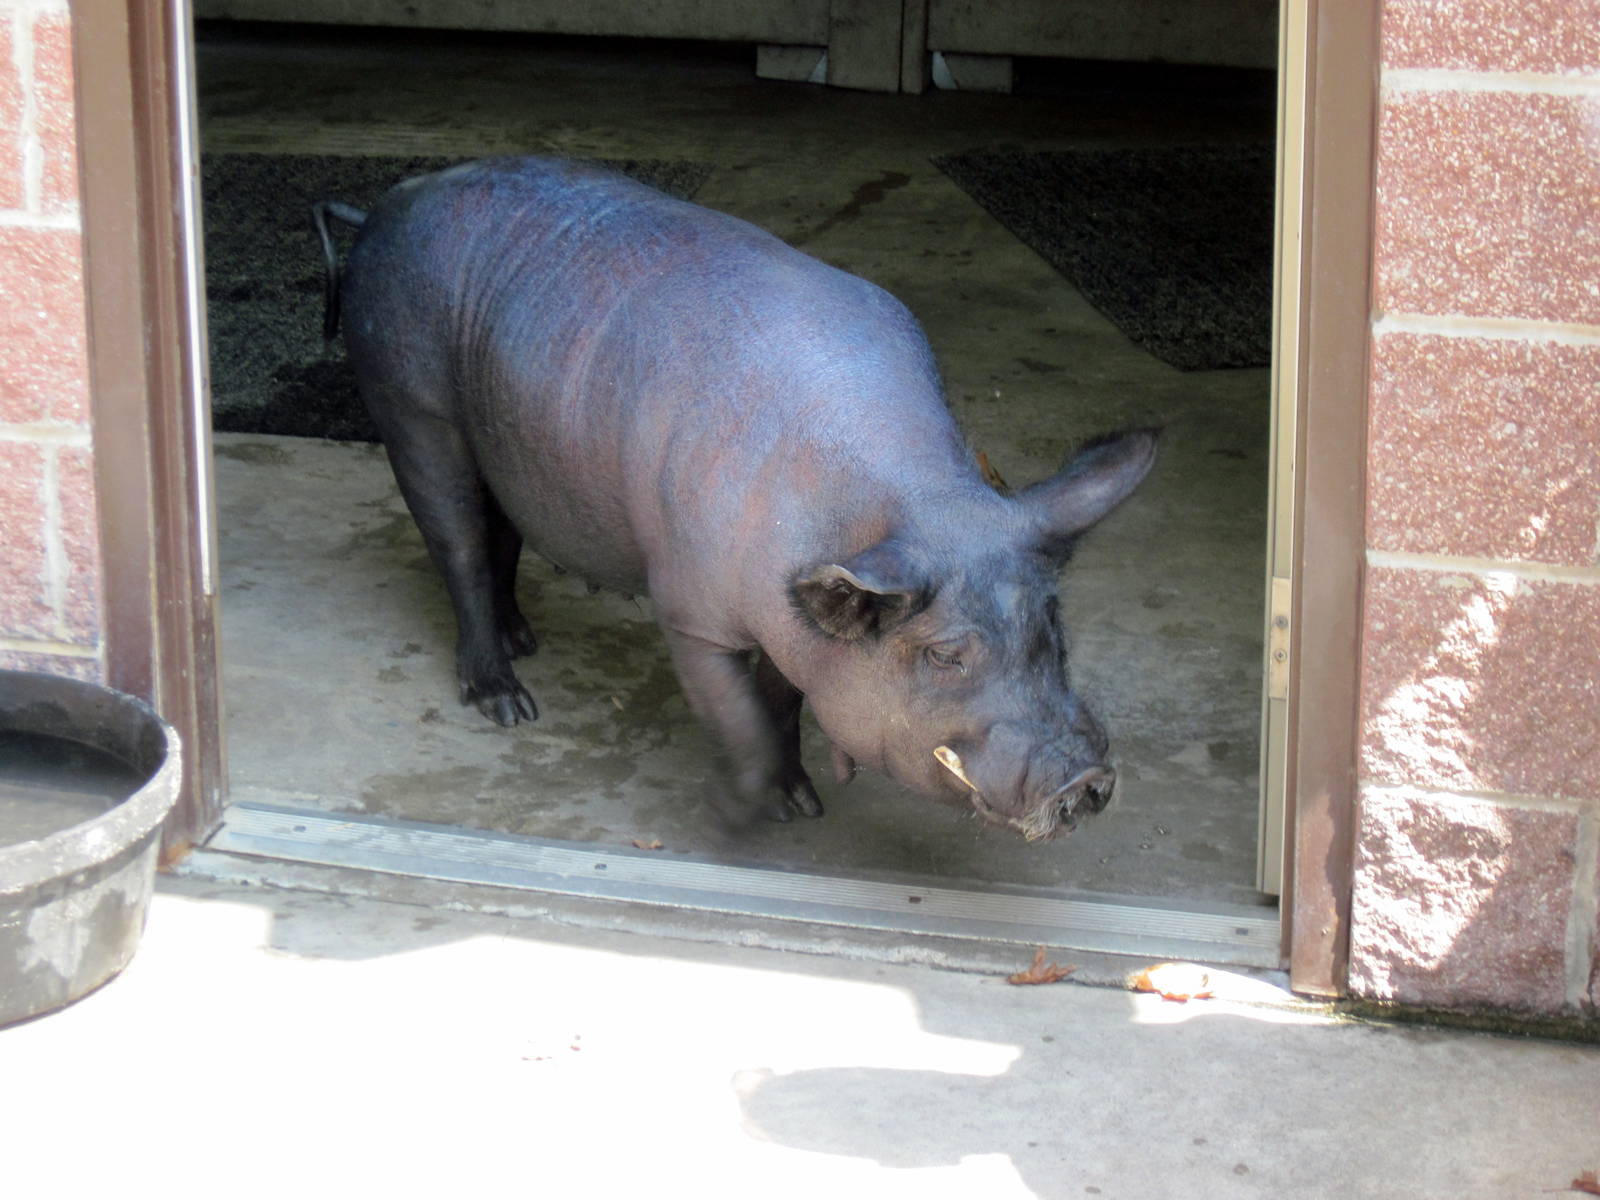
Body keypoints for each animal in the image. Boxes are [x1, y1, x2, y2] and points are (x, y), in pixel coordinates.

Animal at [312, 157, 1157, 841]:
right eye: (945, 653)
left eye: (1053, 627)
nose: (1088, 779)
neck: (902, 499)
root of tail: (389, 202)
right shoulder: (687, 606)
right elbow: (740, 717)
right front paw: (736, 820)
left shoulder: (793, 623)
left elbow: (780, 703)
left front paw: (803, 804)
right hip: (411, 397)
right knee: (454, 536)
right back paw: (508, 704)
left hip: (506, 436)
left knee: (503, 529)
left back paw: (526, 643)